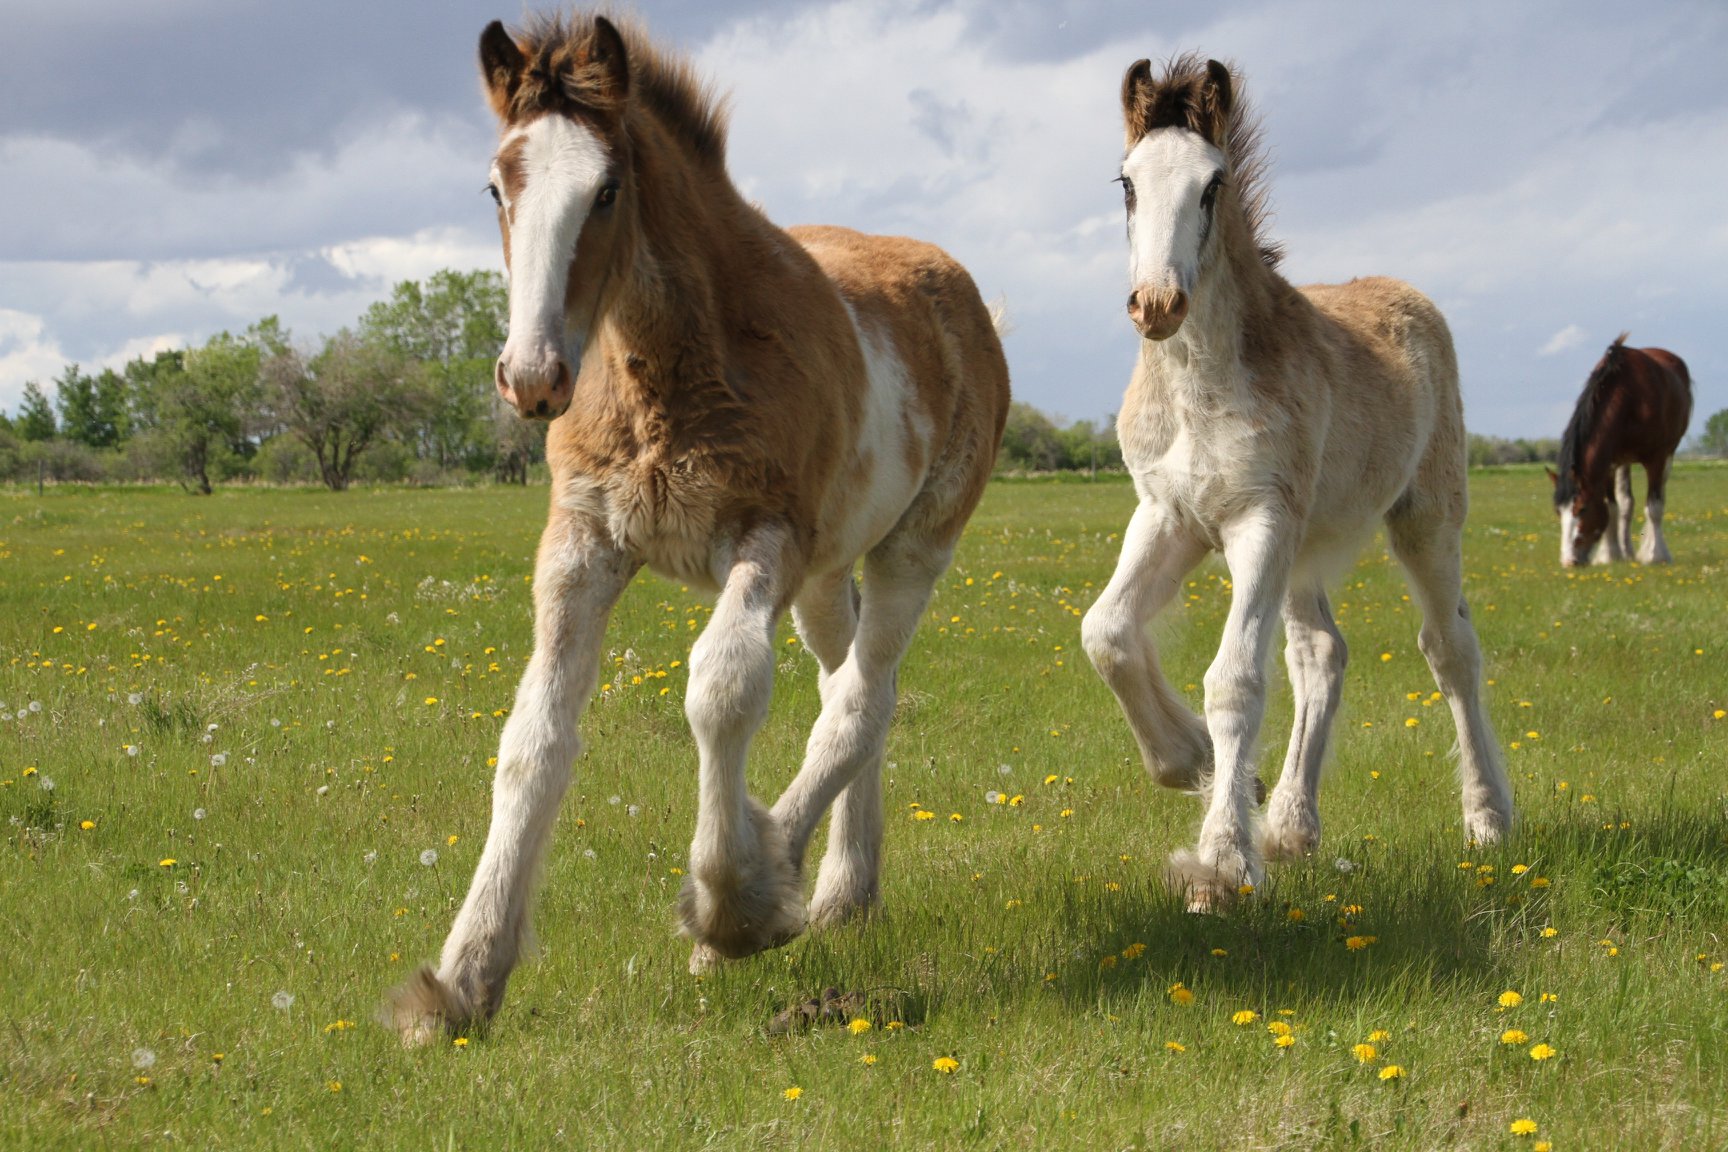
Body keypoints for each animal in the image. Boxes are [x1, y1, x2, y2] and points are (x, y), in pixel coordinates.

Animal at [1555, 333, 1686, 566]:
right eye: (1558, 512)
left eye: (1582, 508)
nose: (1568, 561)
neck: (1630, 398)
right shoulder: (1609, 463)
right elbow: (1613, 508)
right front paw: (1611, 554)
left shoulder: (1657, 459)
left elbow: (1654, 507)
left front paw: (1656, 555)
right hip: (1624, 462)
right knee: (1627, 503)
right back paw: (1627, 551)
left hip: (1668, 456)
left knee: (1658, 497)